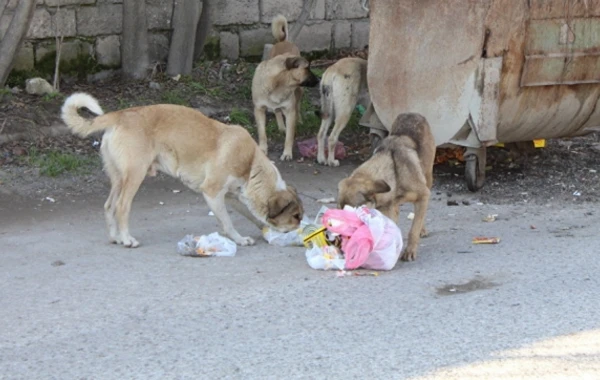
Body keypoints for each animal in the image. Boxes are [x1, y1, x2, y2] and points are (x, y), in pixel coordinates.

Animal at [340, 112, 434, 262]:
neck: (394, 174)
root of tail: (412, 113)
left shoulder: (423, 195)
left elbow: (414, 229)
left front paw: (410, 250)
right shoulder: (386, 206)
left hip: (428, 177)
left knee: (420, 216)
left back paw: (422, 229)